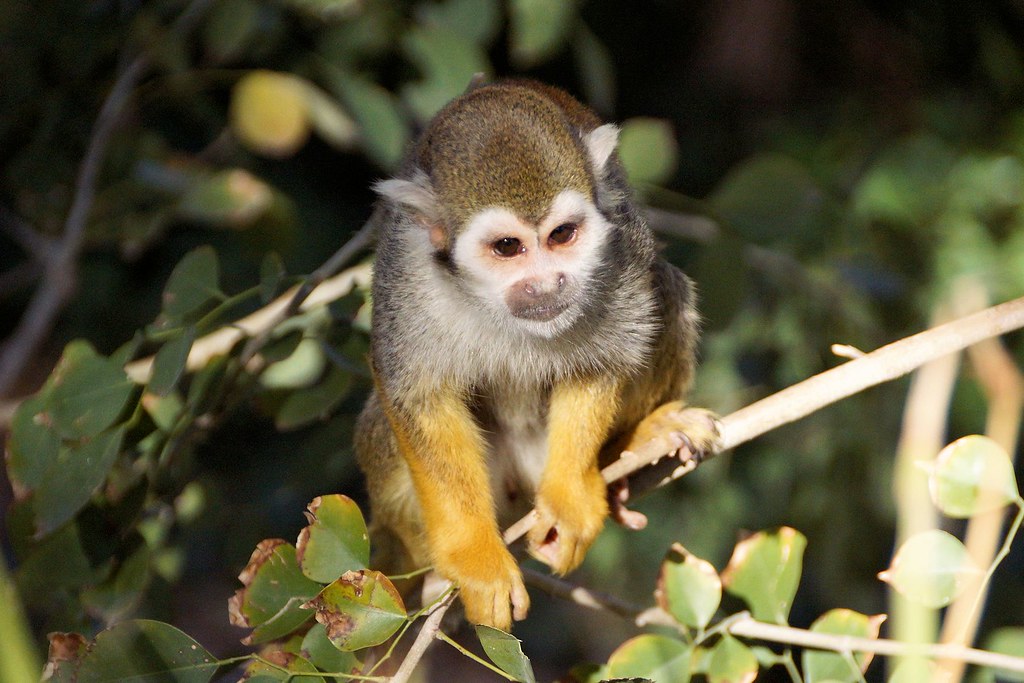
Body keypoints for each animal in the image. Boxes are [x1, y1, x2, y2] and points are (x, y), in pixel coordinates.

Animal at [354, 80, 719, 631]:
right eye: (508, 247)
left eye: (562, 235)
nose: (548, 284)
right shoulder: (408, 272)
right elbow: (415, 392)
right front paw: (474, 558)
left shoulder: (621, 247)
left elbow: (604, 357)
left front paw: (568, 502)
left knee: (665, 288)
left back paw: (629, 448)